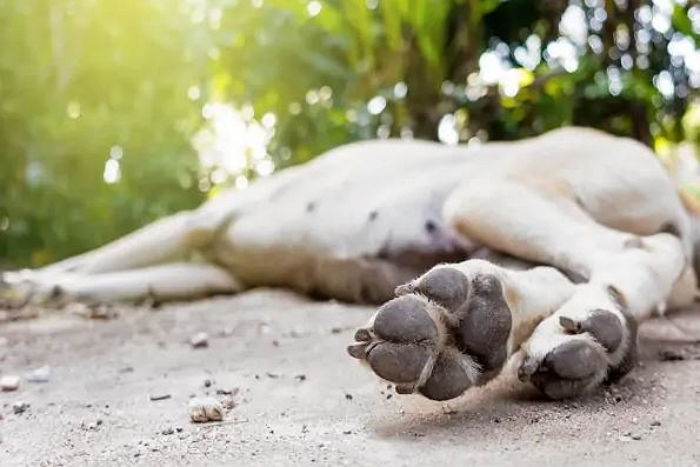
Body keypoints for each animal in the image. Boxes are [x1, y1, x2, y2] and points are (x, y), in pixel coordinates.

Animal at [2, 128, 696, 402]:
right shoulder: (217, 270)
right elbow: (122, 274)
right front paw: (50, 292)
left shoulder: (197, 221)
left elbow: (101, 253)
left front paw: (28, 282)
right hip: (486, 227)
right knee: (553, 275)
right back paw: (469, 329)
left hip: (484, 192)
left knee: (636, 250)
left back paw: (577, 331)